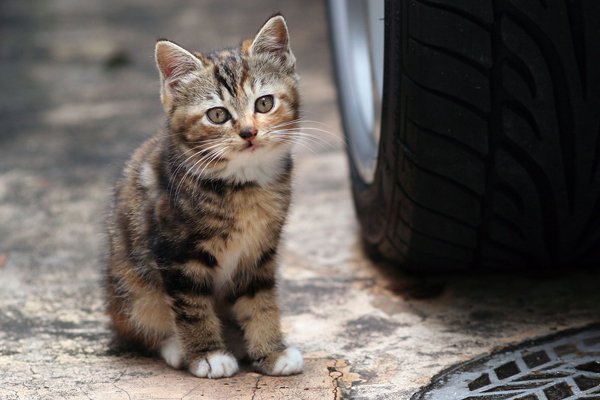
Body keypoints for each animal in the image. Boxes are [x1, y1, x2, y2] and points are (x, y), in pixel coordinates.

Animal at [104, 14, 304, 378]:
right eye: (217, 115)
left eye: (264, 103)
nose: (249, 132)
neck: (243, 186)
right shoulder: (175, 252)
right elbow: (191, 306)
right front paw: (207, 355)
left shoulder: (259, 253)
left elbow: (261, 301)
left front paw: (272, 352)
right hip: (131, 287)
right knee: (141, 327)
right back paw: (175, 347)